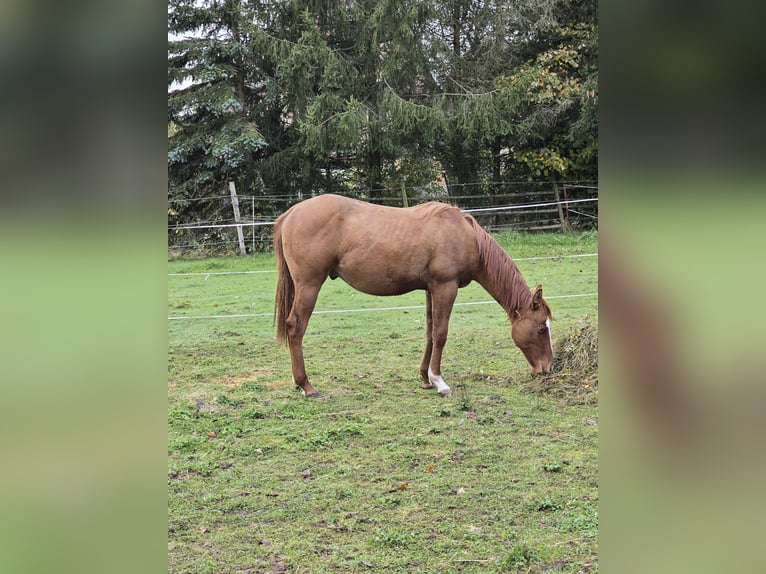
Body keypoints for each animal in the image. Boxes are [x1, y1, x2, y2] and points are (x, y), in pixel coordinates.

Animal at [273, 194, 554, 398]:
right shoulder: (445, 287)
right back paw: (306, 385)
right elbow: (441, 334)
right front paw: (440, 382)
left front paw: (425, 378)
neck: (465, 235)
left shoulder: (431, 289)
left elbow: (430, 333)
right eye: (542, 328)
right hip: (309, 284)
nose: (548, 368)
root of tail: (291, 214)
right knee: (296, 326)